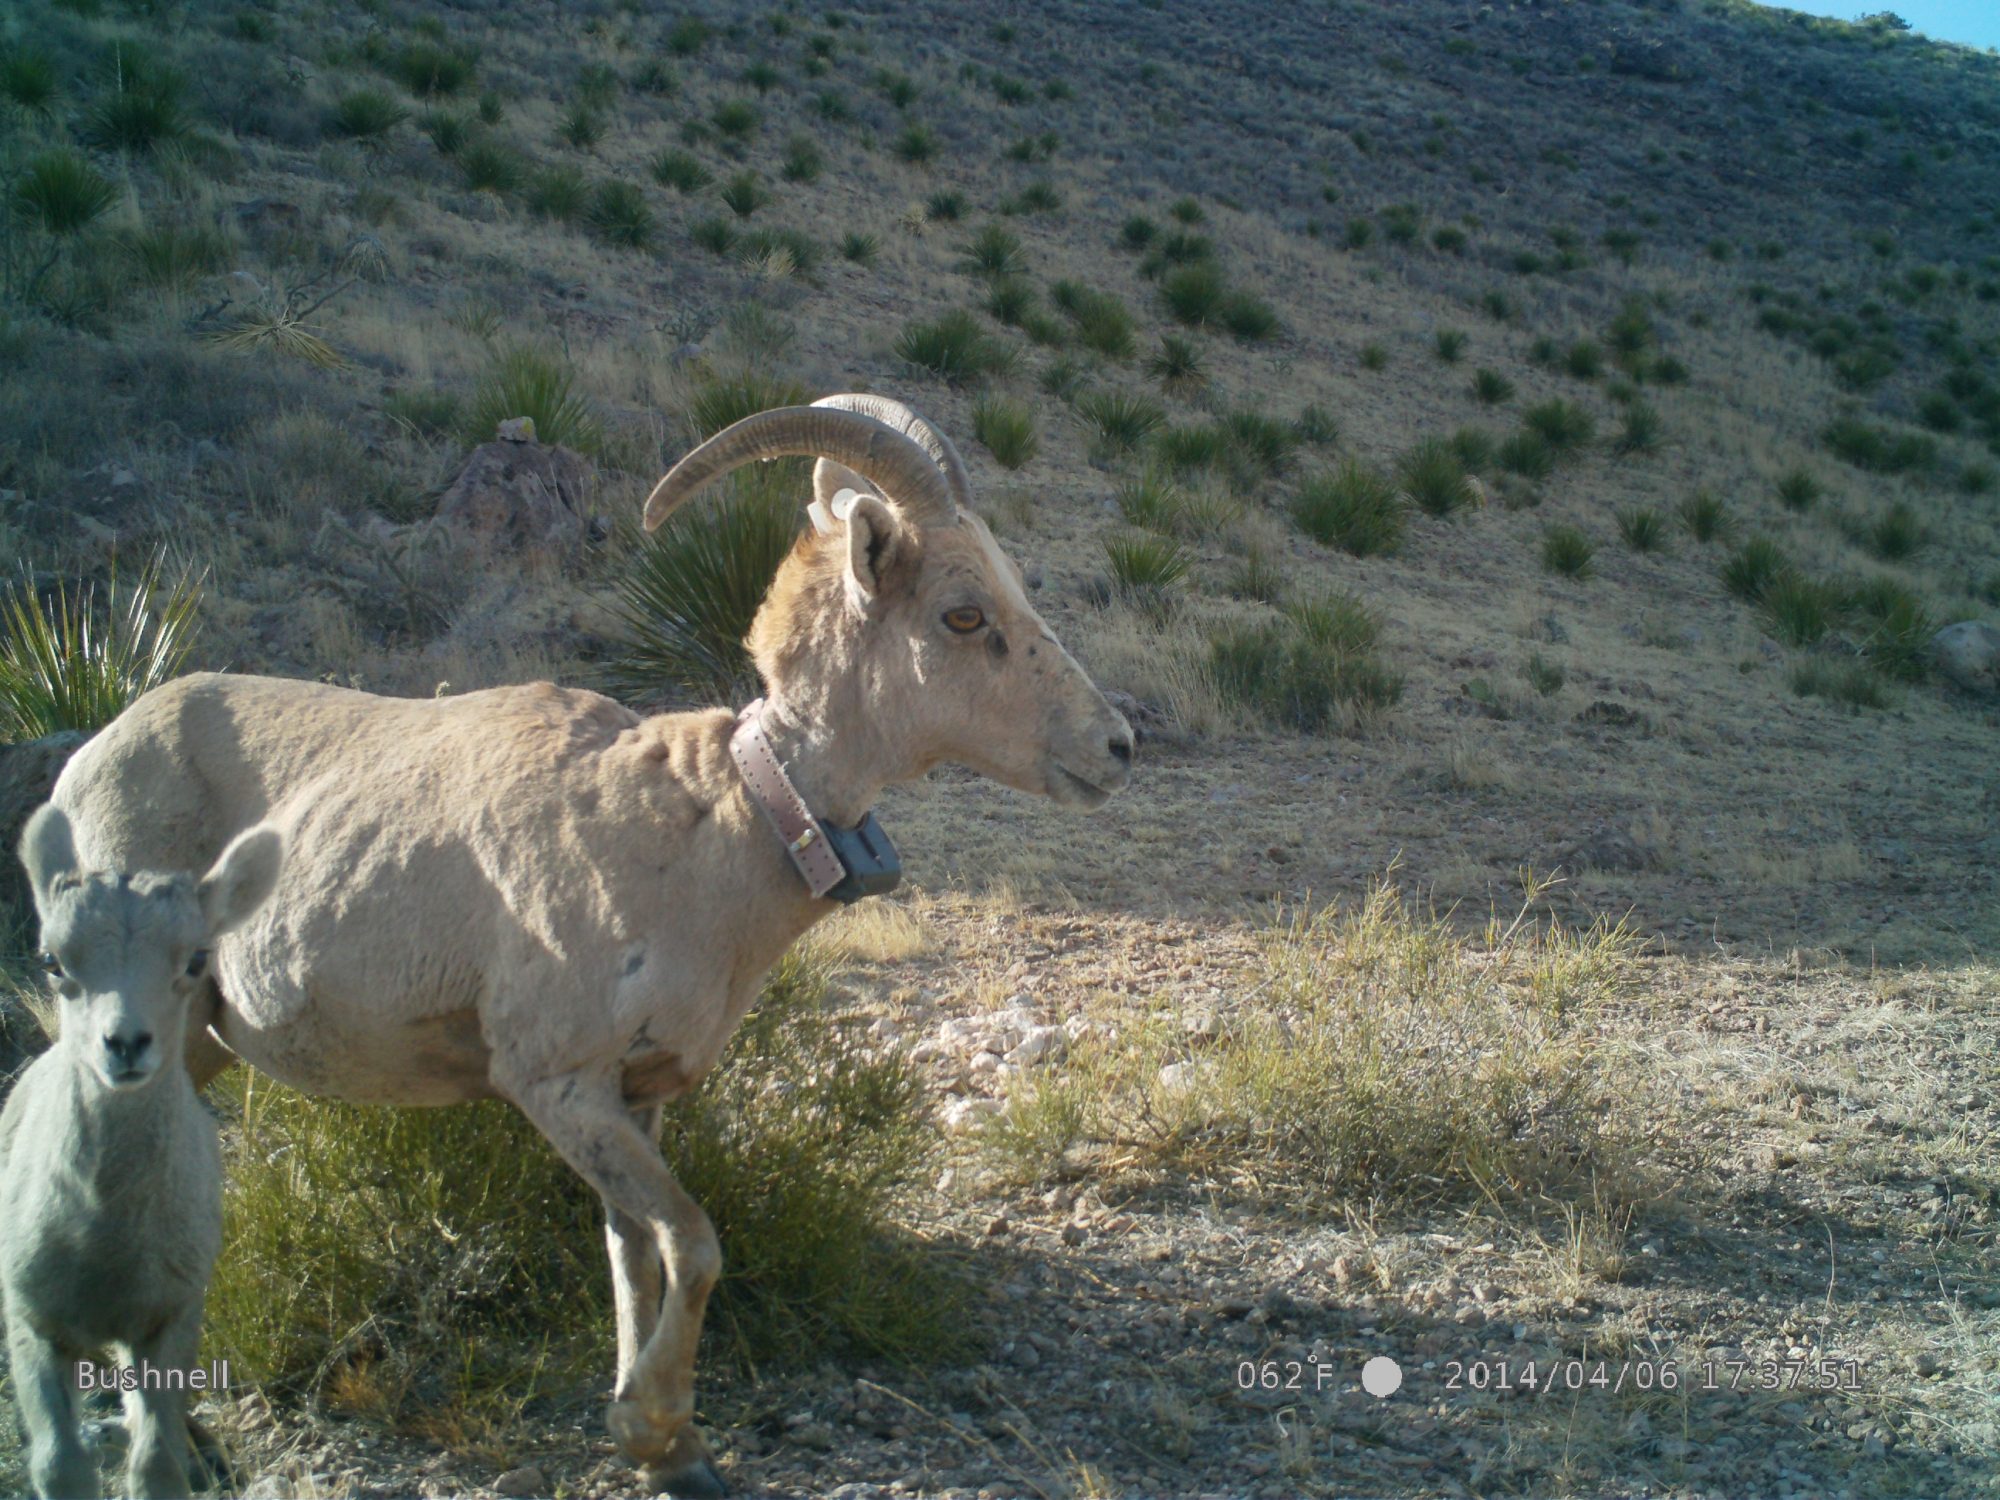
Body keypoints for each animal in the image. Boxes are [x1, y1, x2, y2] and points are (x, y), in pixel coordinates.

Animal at [2, 805, 282, 1500]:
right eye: (53, 961)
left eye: (197, 958)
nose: (125, 1043)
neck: (104, 1243)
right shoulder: (33, 1324)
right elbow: (58, 1464)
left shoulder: (168, 1320)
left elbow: (156, 1463)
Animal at [49, 396, 1135, 1498]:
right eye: (962, 615)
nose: (1116, 747)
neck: (703, 834)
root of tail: (87, 763)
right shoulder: (557, 1083)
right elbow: (694, 1244)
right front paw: (649, 1431)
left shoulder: (636, 1099)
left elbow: (637, 1252)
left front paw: (673, 1446)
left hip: (202, 1046)